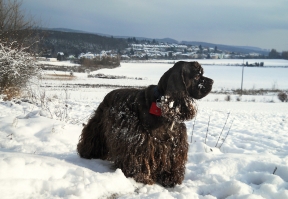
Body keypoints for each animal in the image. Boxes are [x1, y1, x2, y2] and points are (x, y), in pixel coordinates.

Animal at [77, 60, 213, 187]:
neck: (161, 105)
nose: (212, 81)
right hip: (99, 125)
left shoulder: (174, 143)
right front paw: (142, 177)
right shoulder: (141, 141)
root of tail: (108, 95)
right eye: (197, 75)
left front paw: (170, 179)